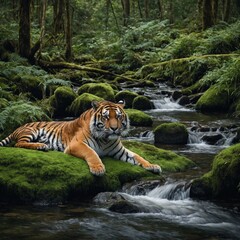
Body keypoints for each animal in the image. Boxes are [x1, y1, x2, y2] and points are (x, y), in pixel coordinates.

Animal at [0, 100, 161, 176]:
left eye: (118, 116)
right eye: (106, 117)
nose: (115, 128)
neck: (105, 139)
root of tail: (18, 127)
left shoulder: (119, 151)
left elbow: (138, 157)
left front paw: (153, 165)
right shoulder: (77, 144)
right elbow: (92, 153)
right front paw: (98, 169)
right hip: (31, 131)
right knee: (18, 143)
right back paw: (40, 145)